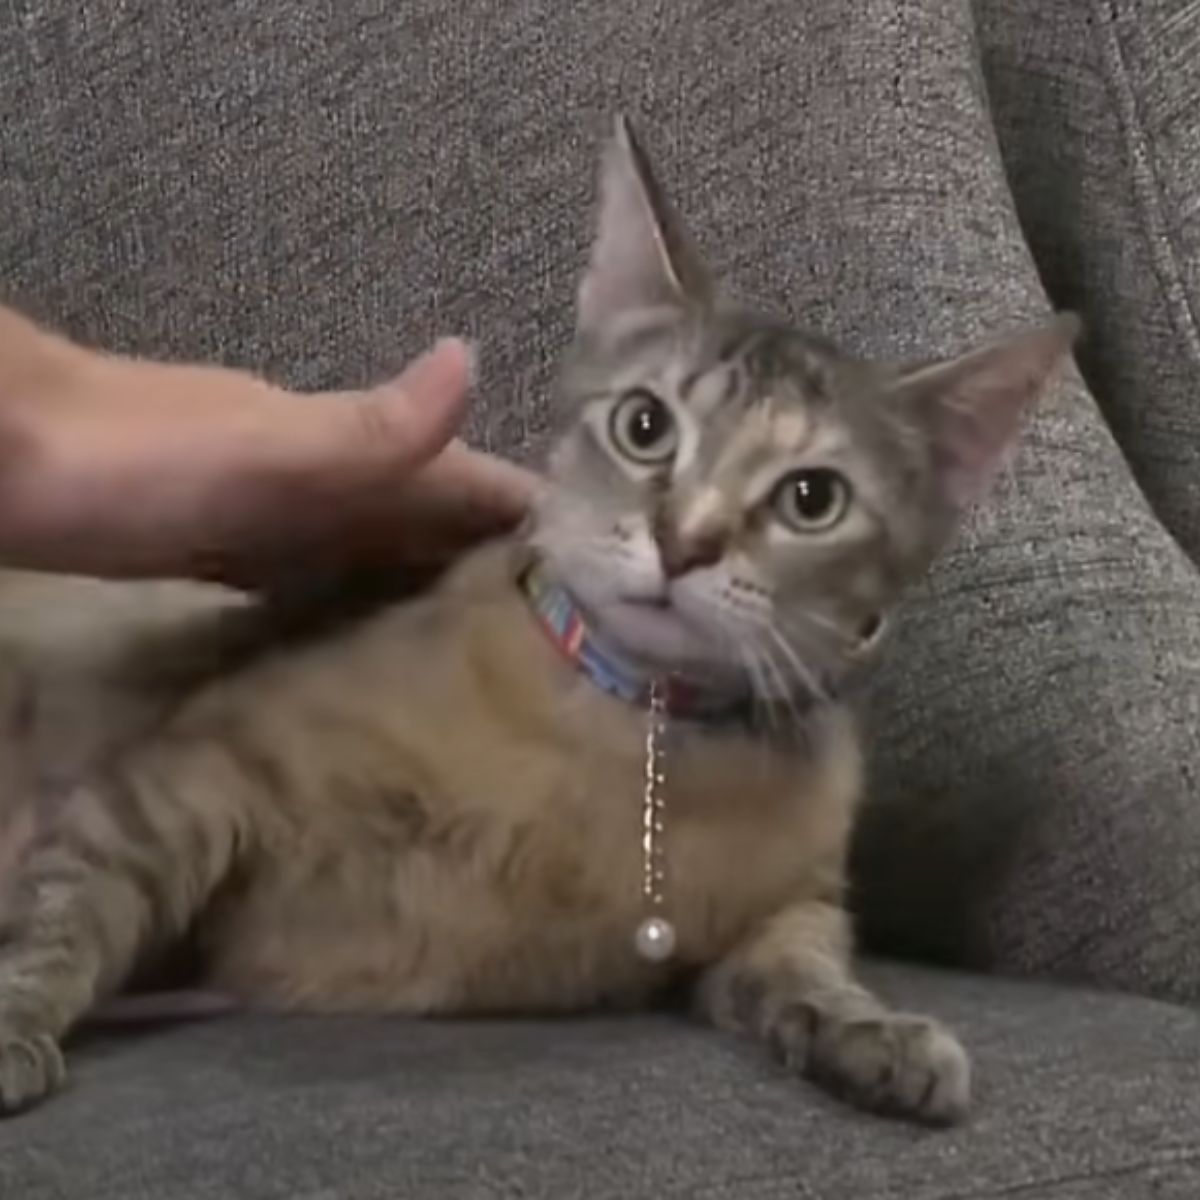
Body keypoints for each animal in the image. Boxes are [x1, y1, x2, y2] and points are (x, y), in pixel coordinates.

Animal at [0, 117, 1080, 1118]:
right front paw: (13, 1022)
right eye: (645, 426)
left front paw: (873, 1033)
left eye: (812, 499)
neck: (634, 748)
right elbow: (70, 911)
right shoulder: (192, 774)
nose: (685, 541)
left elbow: (805, 965)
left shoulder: (786, 909)